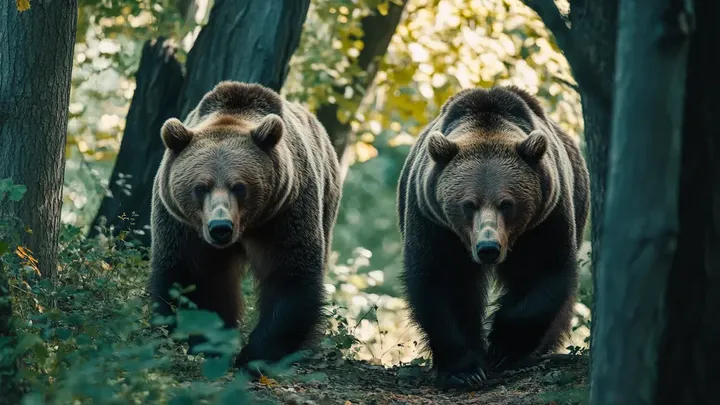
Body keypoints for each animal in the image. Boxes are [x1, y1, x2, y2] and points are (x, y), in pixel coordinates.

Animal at [148, 80, 343, 374]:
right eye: (200, 187)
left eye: (239, 186)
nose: (220, 227)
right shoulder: (182, 225)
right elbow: (184, 275)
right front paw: (206, 343)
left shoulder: (285, 213)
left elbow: (290, 276)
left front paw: (254, 354)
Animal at [396, 85, 590, 390]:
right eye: (468, 204)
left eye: (507, 204)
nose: (488, 248)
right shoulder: (433, 221)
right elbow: (441, 281)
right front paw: (465, 369)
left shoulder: (545, 219)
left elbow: (544, 271)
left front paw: (502, 347)